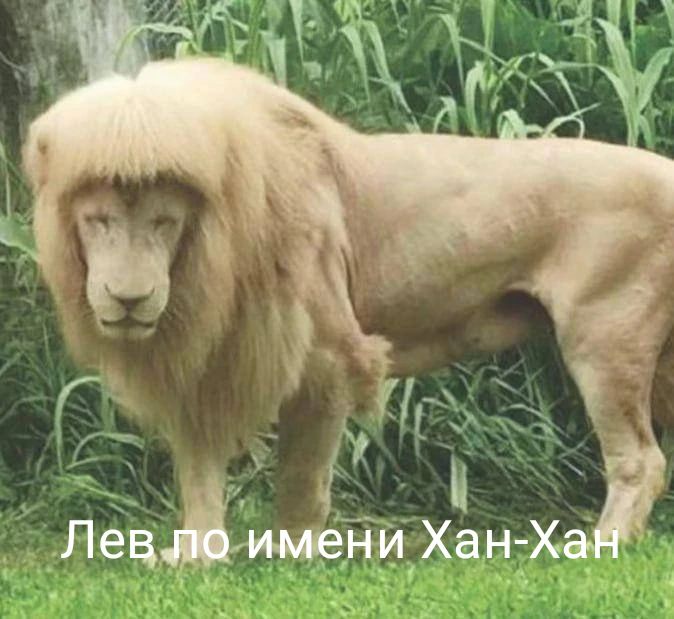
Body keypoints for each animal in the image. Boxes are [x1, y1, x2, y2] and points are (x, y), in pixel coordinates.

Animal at [23, 58, 674, 563]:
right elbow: (198, 469)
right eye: (98, 221)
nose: (128, 298)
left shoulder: (329, 353)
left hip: (604, 337)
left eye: (164, 221)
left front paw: (291, 553)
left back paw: (602, 544)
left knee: (642, 459)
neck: (207, 261)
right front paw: (194, 557)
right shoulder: (205, 362)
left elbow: (301, 470)